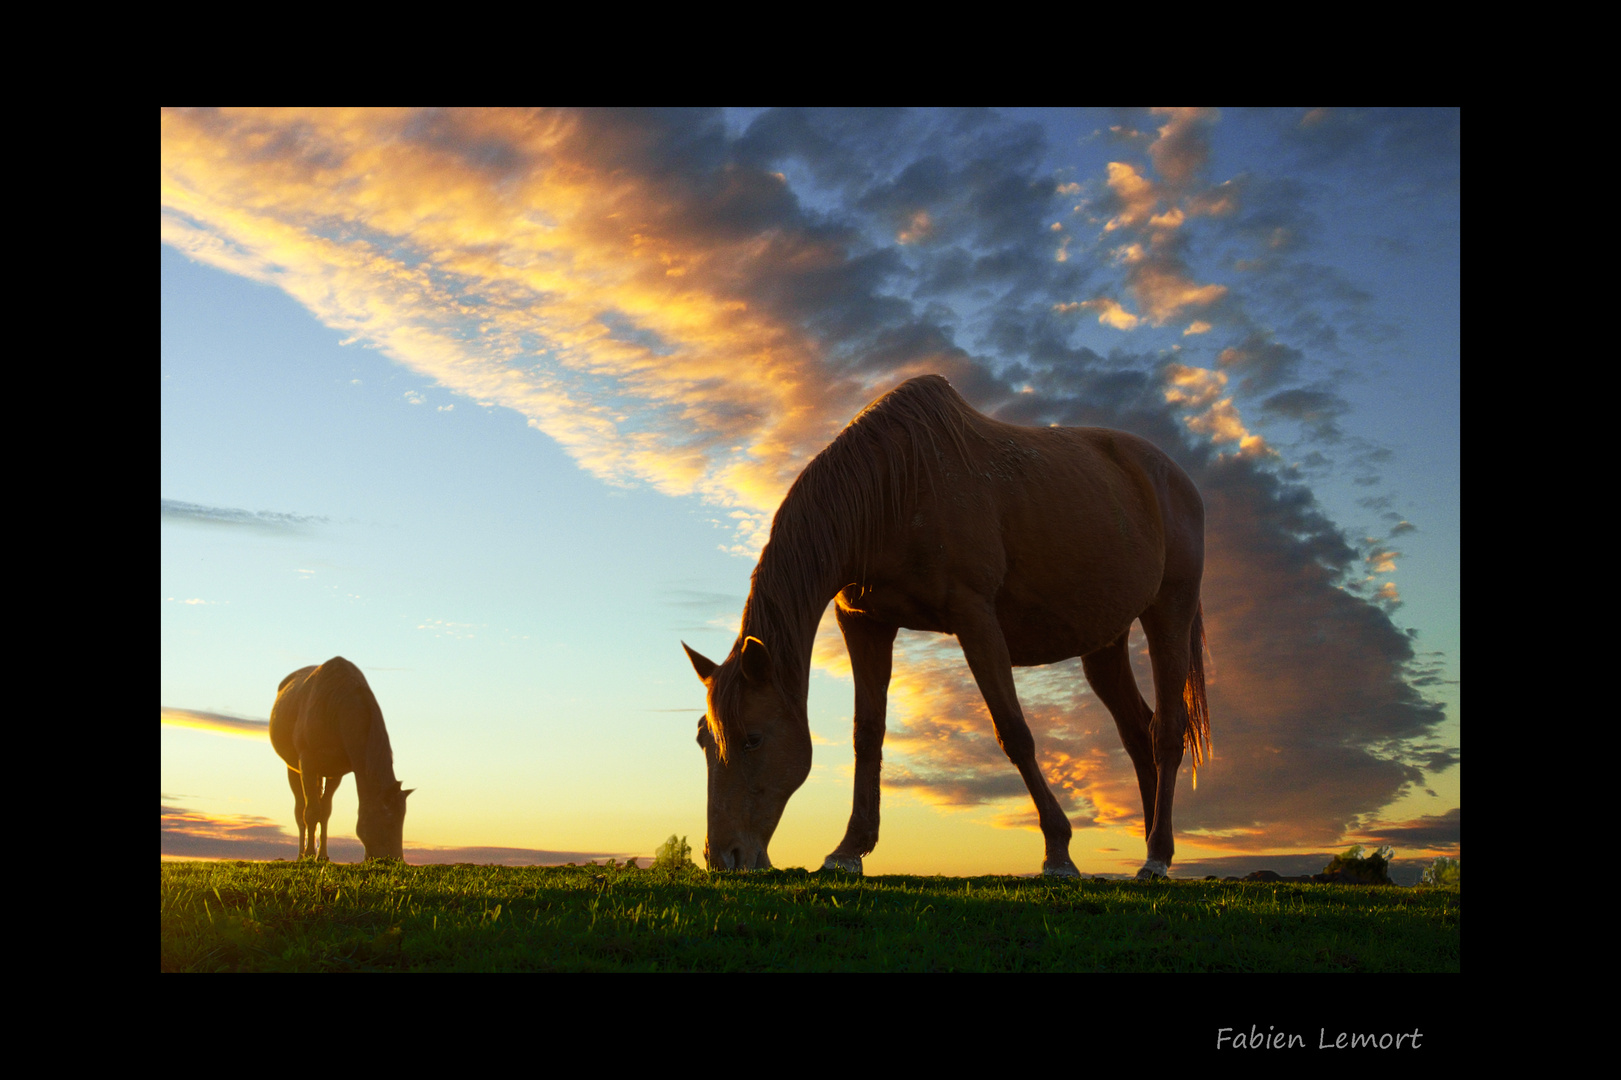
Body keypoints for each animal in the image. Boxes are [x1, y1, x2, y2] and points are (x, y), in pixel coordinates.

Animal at [269, 655, 414, 856]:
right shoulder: (307, 763)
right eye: (388, 820)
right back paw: (300, 854)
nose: (396, 859)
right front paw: (310, 854)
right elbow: (311, 812)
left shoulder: (335, 773)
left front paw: (322, 856)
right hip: (293, 769)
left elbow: (325, 813)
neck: (336, 710)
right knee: (299, 811)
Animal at [680, 374, 1206, 882]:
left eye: (752, 738)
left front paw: (1058, 853)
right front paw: (849, 850)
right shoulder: (866, 623)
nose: (723, 857)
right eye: (703, 738)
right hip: (1104, 643)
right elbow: (867, 734)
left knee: (1167, 731)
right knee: (1138, 734)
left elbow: (1014, 732)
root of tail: (1175, 477)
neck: (894, 487)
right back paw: (1153, 849)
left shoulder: (975, 617)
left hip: (1169, 611)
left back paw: (1157, 857)